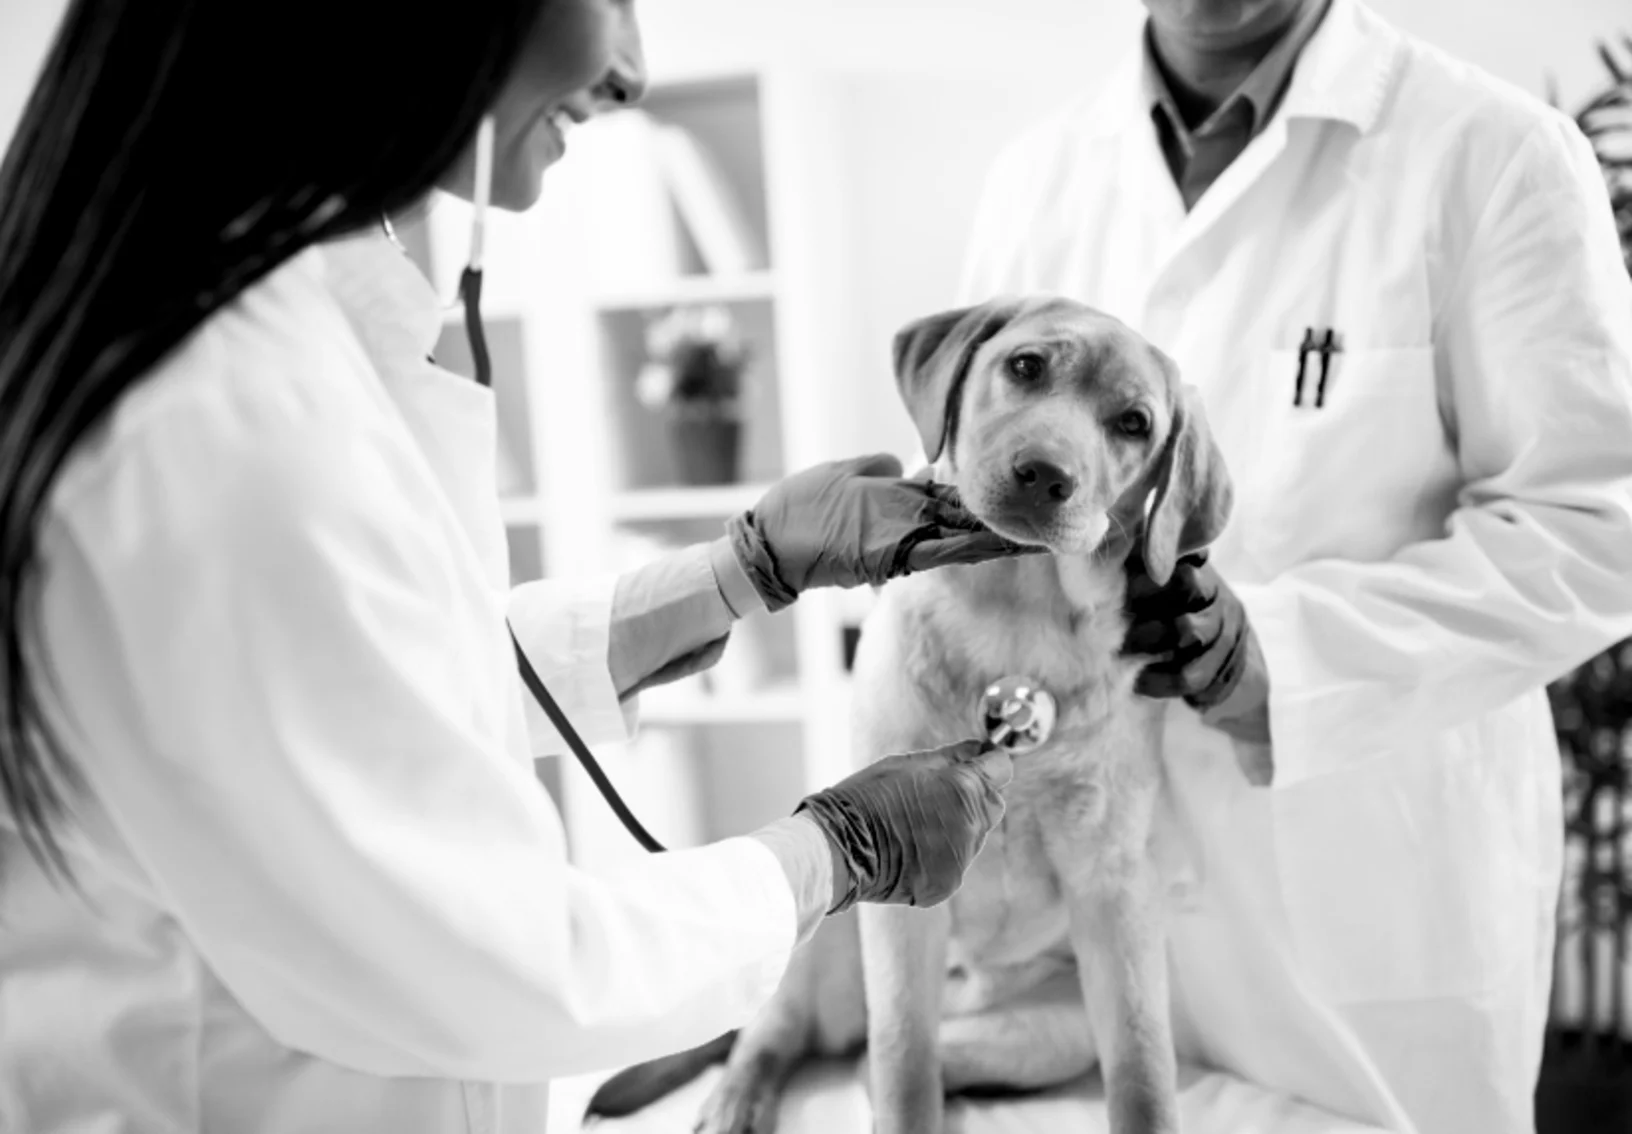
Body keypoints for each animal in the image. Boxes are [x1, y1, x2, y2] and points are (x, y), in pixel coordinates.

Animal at [587, 300, 1227, 1134]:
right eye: (1025, 366)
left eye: (1134, 423)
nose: (1046, 474)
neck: (1018, 614)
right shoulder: (901, 909)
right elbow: (903, 1063)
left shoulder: (1114, 894)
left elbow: (1144, 1077)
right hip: (823, 931)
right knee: (786, 1037)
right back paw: (736, 1102)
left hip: (1051, 1030)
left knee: (879, 1060)